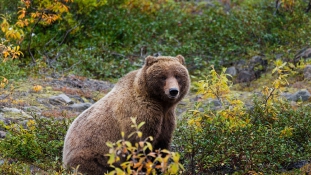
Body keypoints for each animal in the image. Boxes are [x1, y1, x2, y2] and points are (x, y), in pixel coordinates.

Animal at [62, 54, 191, 174]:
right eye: (163, 77)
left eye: (178, 76)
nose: (173, 91)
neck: (160, 103)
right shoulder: (139, 116)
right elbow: (140, 146)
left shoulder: (166, 119)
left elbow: (162, 147)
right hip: (94, 155)